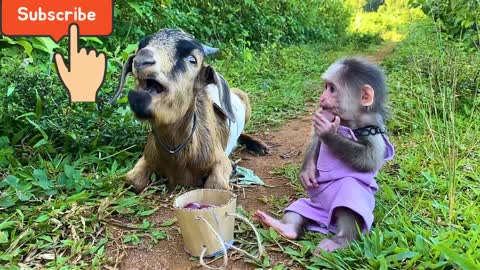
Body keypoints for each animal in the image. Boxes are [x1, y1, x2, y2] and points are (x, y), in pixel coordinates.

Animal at [109, 28, 270, 192]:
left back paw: (258, 146)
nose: (141, 59)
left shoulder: (219, 160)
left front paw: (233, 167)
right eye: (140, 48)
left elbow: (216, 185)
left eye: (192, 59)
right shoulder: (146, 157)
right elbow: (132, 181)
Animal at [255, 56, 394, 253]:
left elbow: (369, 160)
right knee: (297, 210)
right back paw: (285, 228)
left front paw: (328, 132)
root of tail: (325, 223)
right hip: (310, 205)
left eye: (332, 89)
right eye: (325, 87)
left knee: (350, 192)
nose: (322, 98)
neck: (349, 122)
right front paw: (307, 172)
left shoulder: (373, 131)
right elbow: (316, 140)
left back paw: (342, 239)